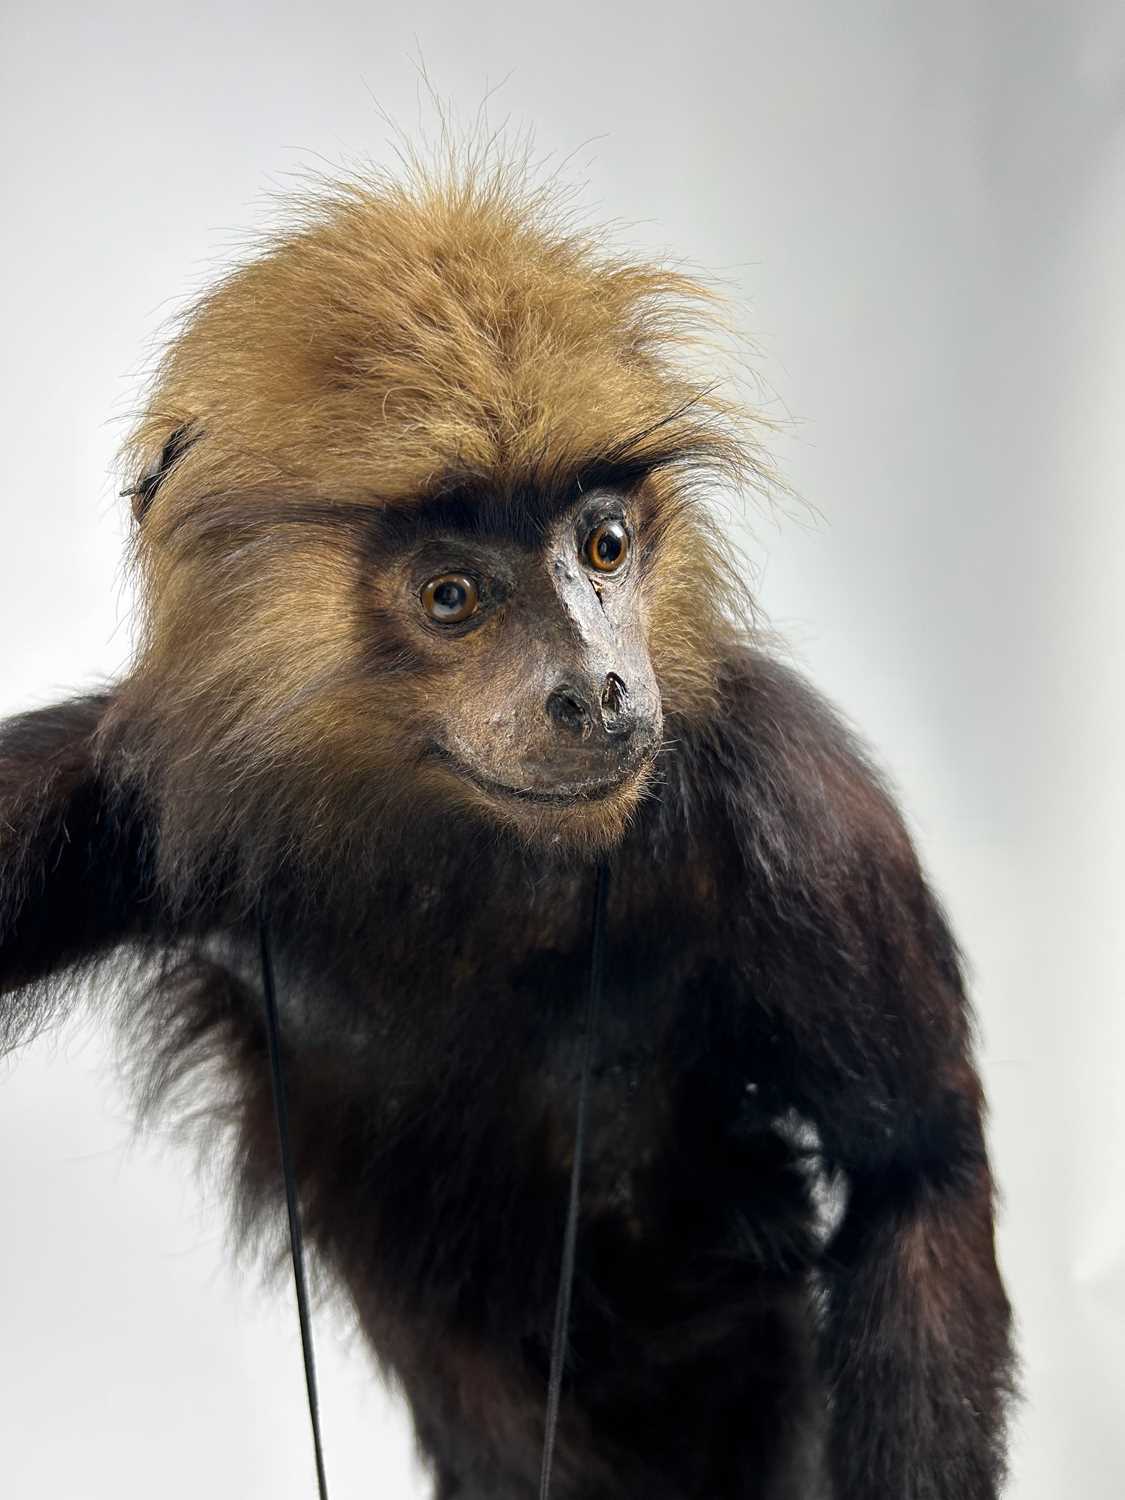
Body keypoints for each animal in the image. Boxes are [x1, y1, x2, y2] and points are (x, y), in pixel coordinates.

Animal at [0, 156, 1014, 1498]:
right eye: (452, 598)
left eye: (605, 546)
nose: (596, 689)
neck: (476, 864)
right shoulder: (141, 781)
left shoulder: (789, 801)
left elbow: (916, 1170)